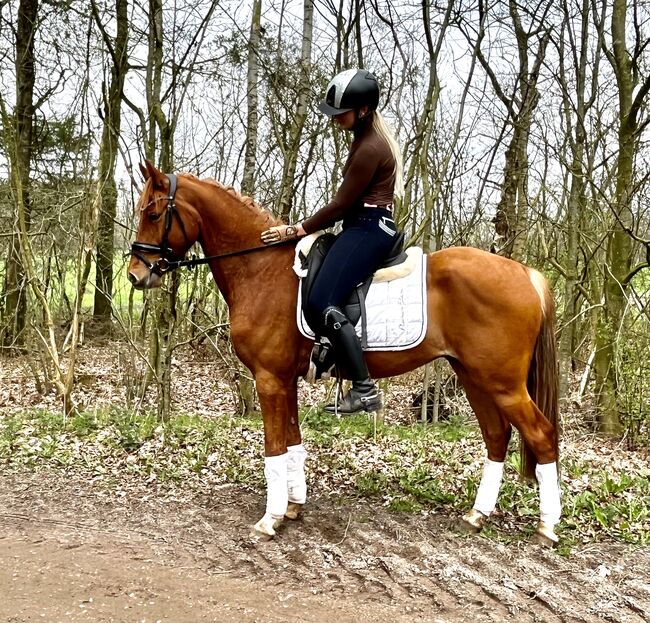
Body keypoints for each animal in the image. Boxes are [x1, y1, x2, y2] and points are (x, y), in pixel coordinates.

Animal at [128, 160, 560, 544]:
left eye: (153, 213)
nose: (135, 274)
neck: (261, 269)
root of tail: (526, 273)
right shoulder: (284, 380)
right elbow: (293, 444)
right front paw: (293, 508)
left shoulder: (269, 379)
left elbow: (274, 450)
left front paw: (269, 520)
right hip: (474, 377)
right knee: (497, 436)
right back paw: (478, 514)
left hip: (502, 383)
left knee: (541, 435)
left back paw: (547, 526)